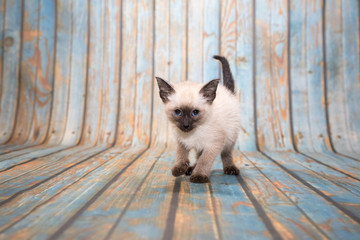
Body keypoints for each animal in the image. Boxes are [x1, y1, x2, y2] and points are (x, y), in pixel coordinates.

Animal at [156, 55, 240, 184]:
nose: (186, 125)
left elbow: (204, 160)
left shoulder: (213, 144)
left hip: (230, 137)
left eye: (195, 112)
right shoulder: (181, 140)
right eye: (178, 112)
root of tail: (227, 91)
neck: (193, 133)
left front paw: (199, 176)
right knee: (198, 156)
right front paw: (180, 168)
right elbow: (180, 154)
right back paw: (190, 169)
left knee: (226, 153)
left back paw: (230, 169)